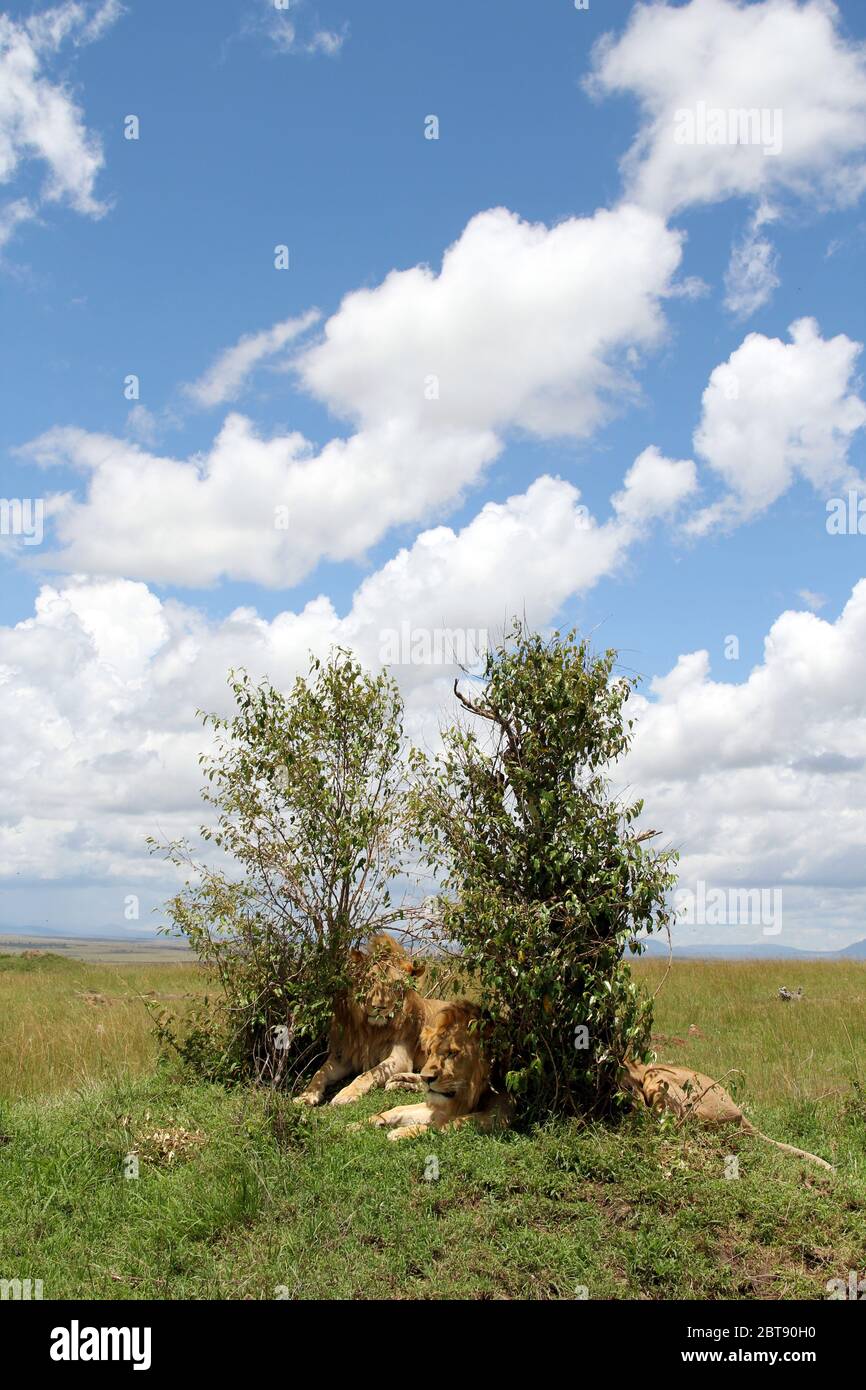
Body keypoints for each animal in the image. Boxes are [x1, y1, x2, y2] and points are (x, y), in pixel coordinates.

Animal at [294, 934, 450, 1106]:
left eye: (395, 984)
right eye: (371, 980)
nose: (379, 1007)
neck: (372, 1030)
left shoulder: (401, 1058)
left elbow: (368, 1074)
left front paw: (346, 1094)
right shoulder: (345, 1055)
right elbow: (320, 1073)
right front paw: (306, 1095)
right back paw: (401, 1082)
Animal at [361, 1006, 511, 1145]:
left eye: (452, 1053)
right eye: (429, 1052)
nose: (427, 1078)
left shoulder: (503, 1116)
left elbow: (448, 1123)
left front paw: (403, 1132)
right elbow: (400, 1108)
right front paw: (364, 1123)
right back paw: (399, 1080)